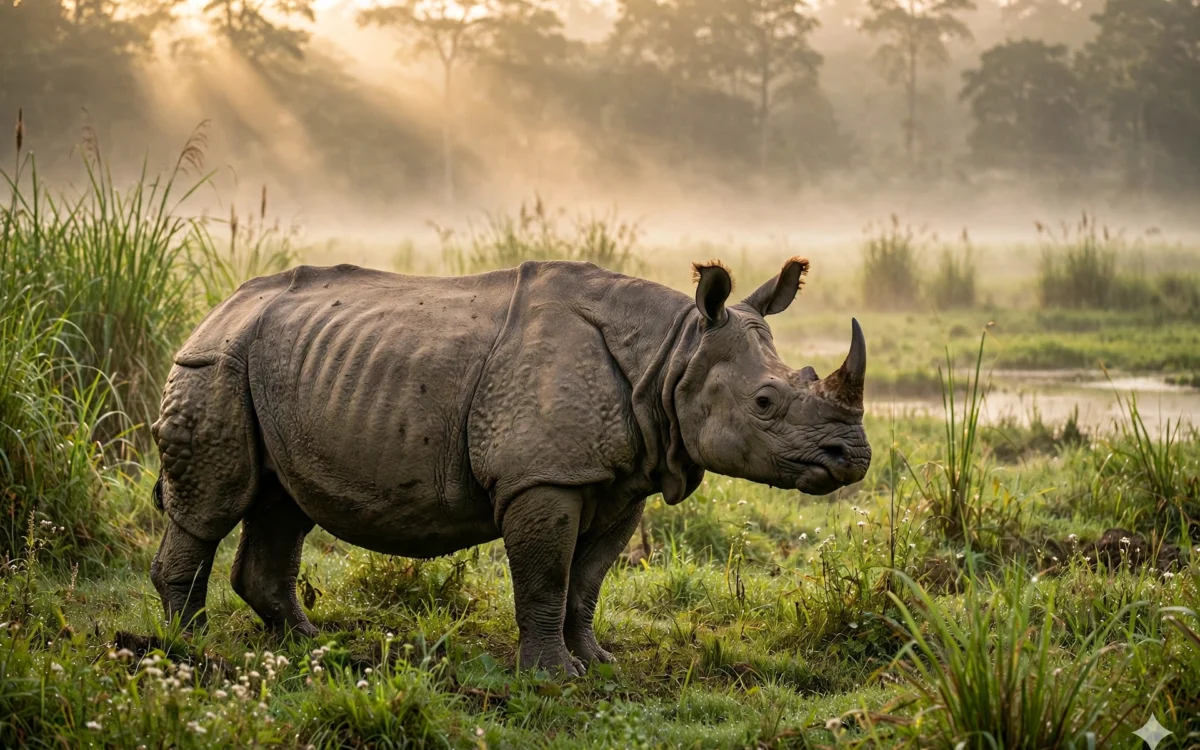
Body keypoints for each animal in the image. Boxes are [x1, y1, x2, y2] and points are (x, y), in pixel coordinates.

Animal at [150, 257, 871, 675]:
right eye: (766, 402)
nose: (854, 458)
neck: (671, 355)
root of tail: (217, 307)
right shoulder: (543, 477)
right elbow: (547, 578)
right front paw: (552, 678)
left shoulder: (622, 478)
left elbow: (587, 582)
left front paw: (598, 663)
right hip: (216, 363)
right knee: (214, 504)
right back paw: (191, 646)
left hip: (278, 368)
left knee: (284, 504)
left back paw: (306, 644)